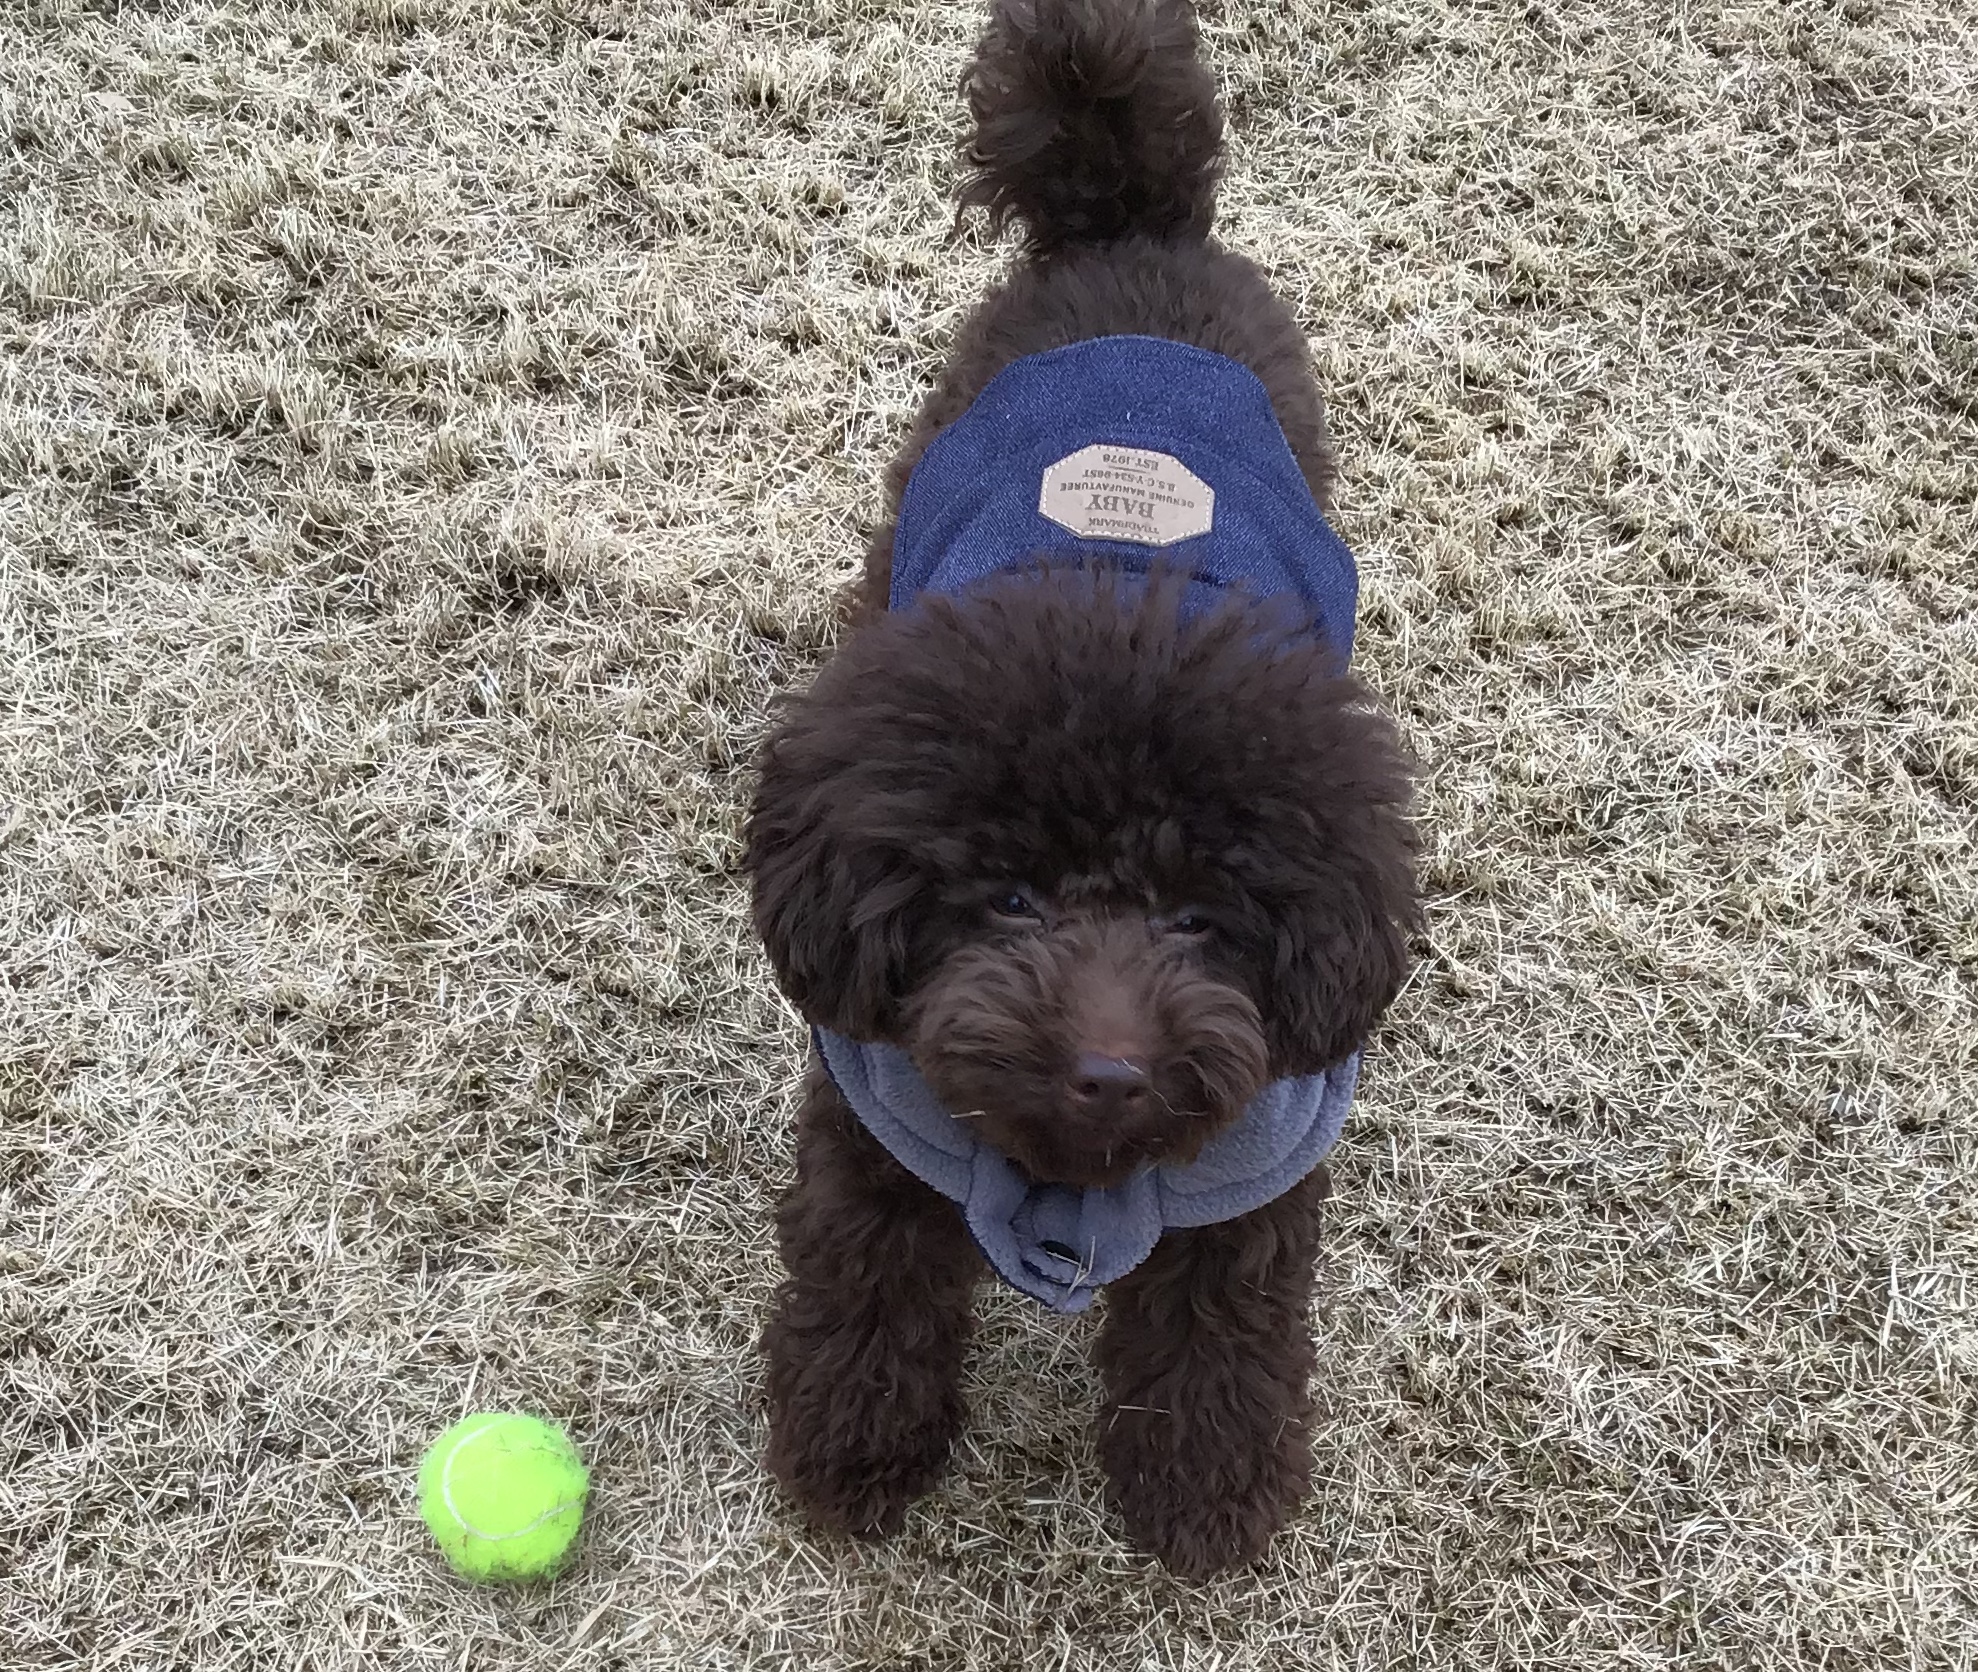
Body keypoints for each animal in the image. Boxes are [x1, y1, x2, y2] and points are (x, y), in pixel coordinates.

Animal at [743, 0, 1420, 1577]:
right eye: (1003, 897)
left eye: (1200, 920)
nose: (1107, 1067)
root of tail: (1129, 229)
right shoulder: (875, 1139)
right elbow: (866, 1289)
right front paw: (853, 1453)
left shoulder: (1248, 1191)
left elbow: (1219, 1337)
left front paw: (1203, 1495)